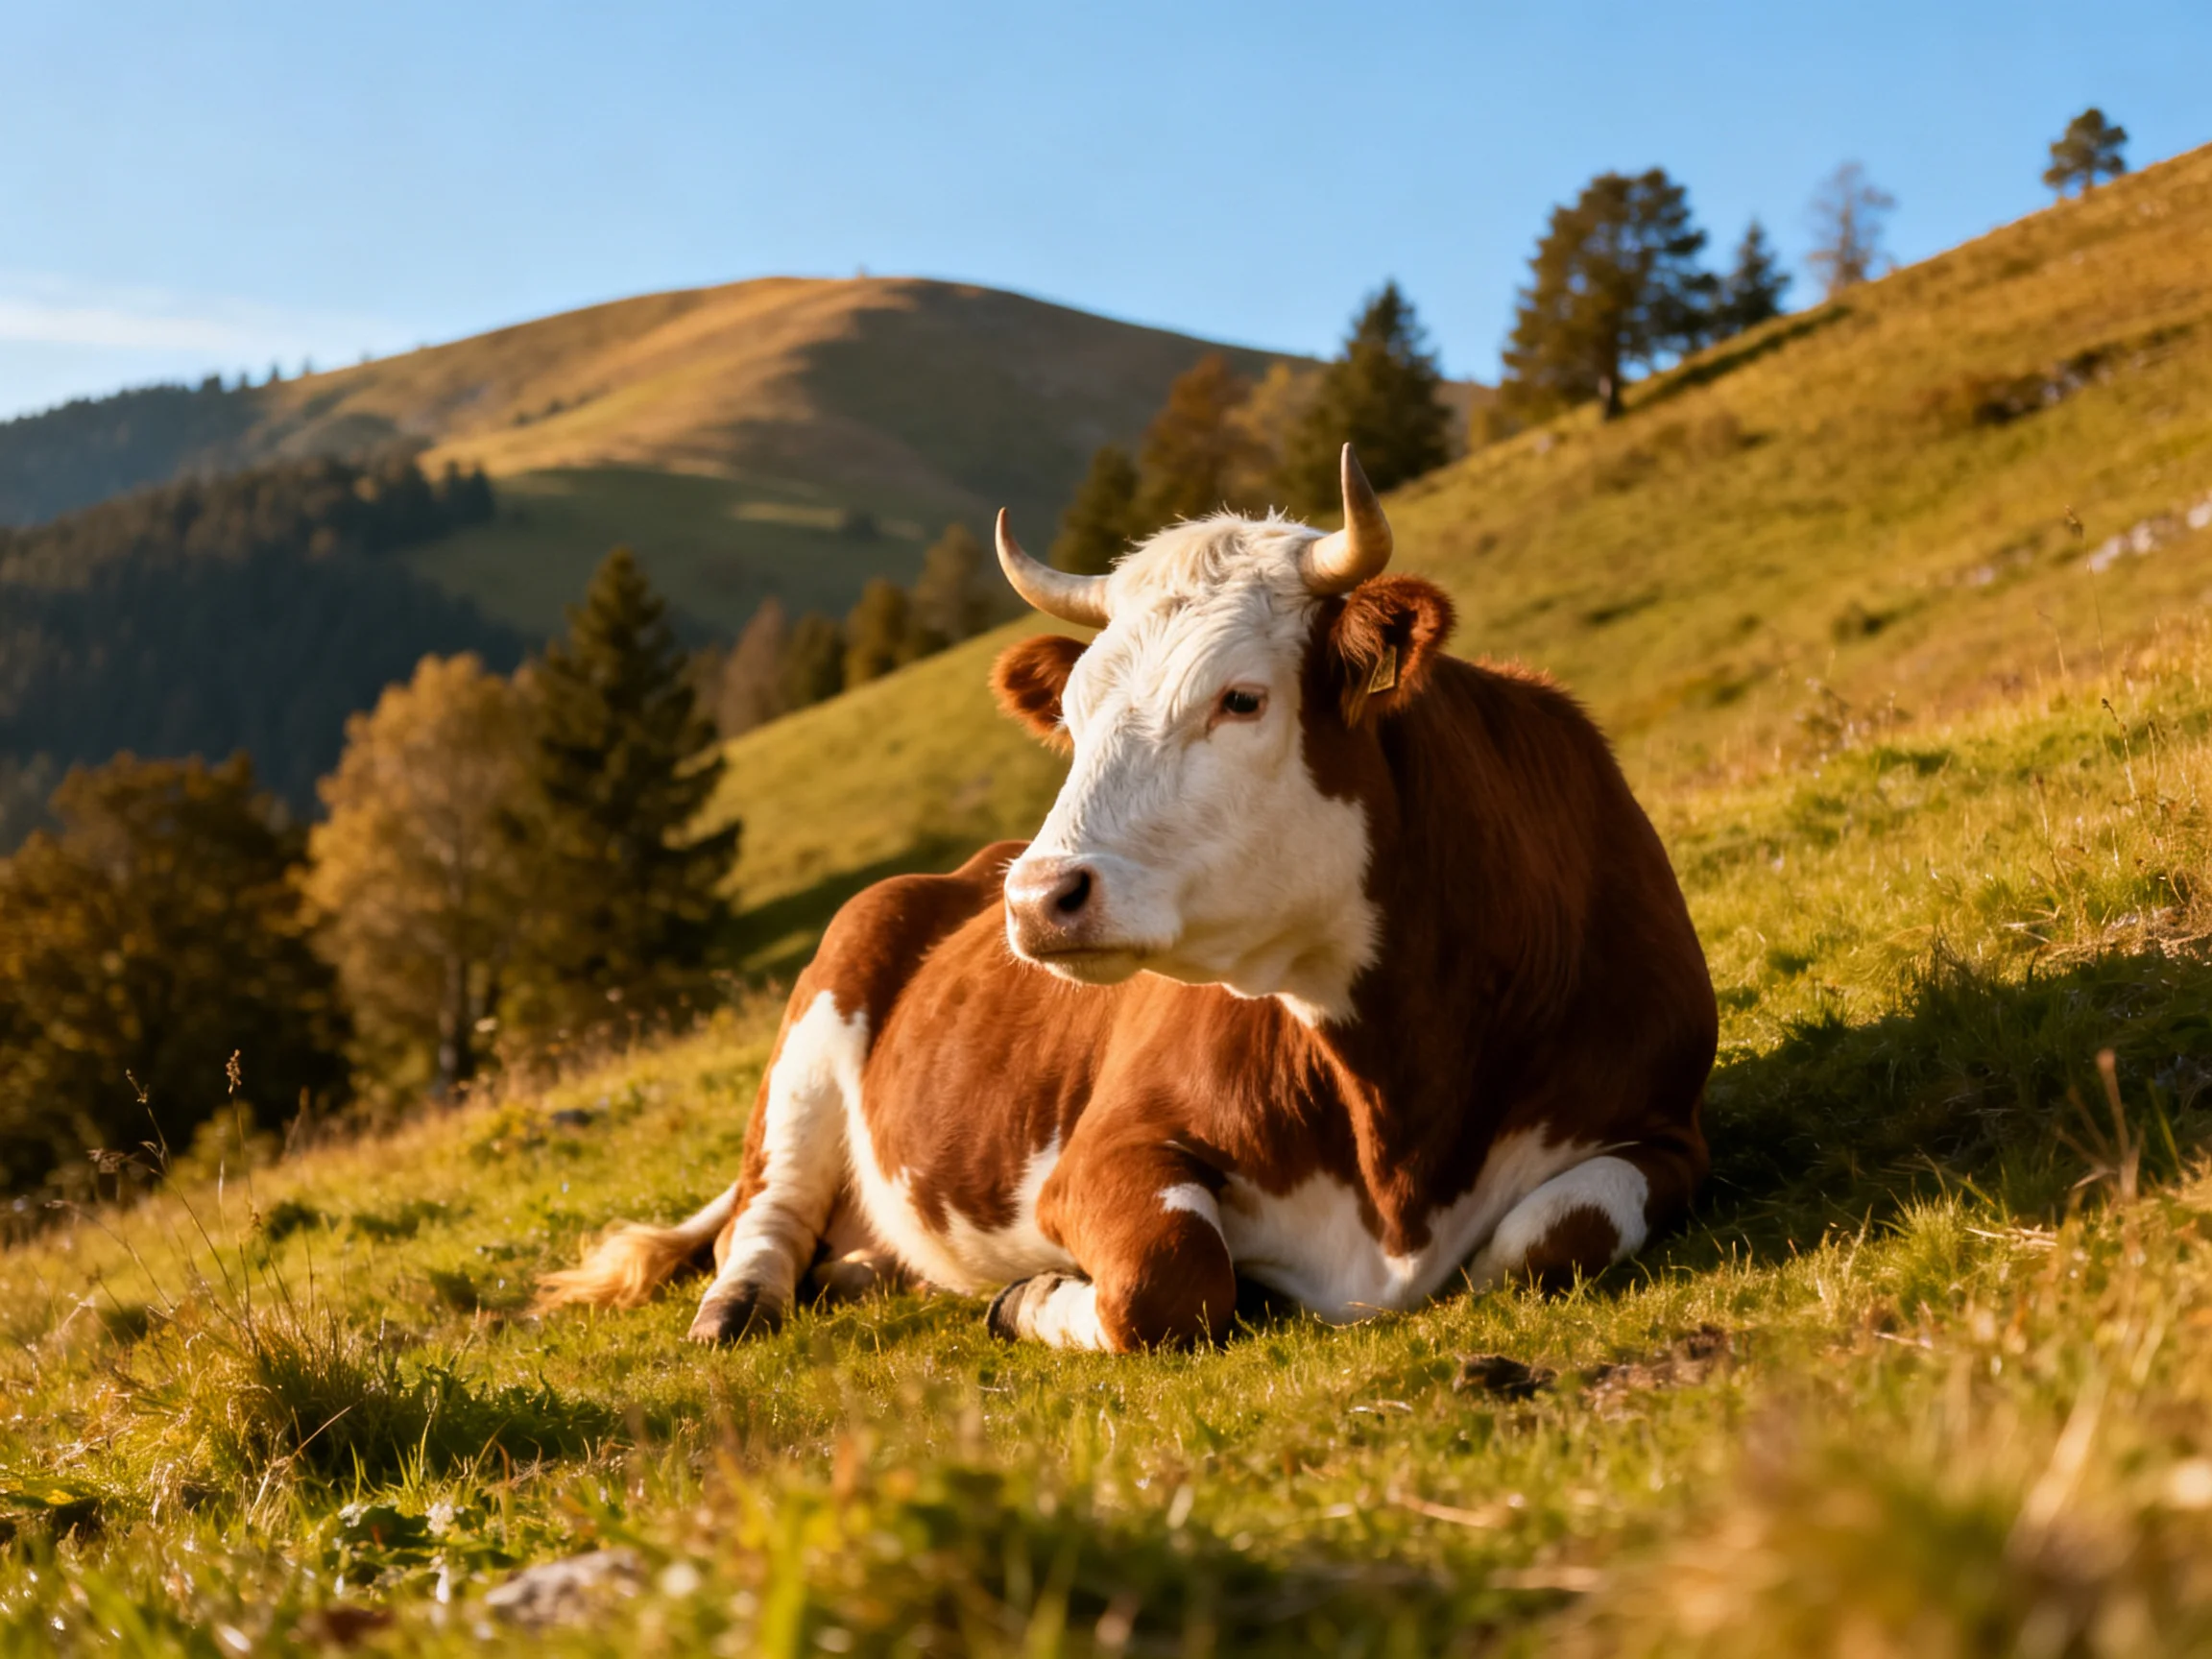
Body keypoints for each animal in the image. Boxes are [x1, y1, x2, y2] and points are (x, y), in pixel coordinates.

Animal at [537, 446, 1717, 1352]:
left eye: (1241, 699)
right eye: (1071, 712)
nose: (1038, 897)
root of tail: (959, 869)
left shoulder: (1663, 1127)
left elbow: (1549, 1241)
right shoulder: (1097, 1156)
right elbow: (1171, 1275)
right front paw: (1032, 1299)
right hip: (815, 1024)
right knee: (767, 1212)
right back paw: (739, 1305)